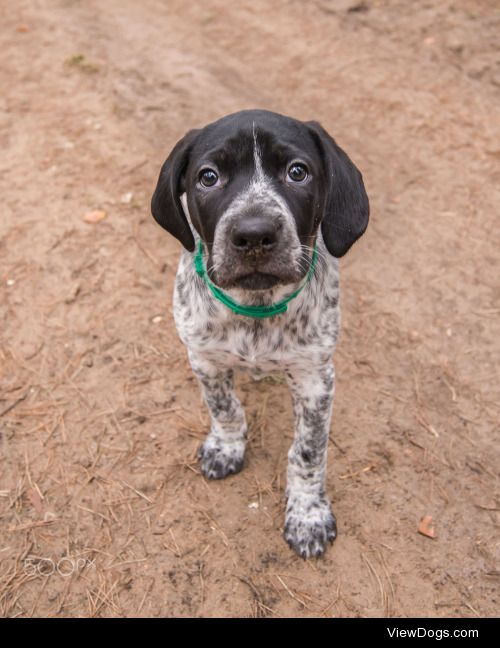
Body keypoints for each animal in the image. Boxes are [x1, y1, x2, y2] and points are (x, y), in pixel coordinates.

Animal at [150, 109, 370, 560]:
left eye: (297, 172)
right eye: (208, 177)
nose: (253, 234)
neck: (256, 306)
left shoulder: (315, 380)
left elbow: (308, 452)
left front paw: (307, 514)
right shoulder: (204, 358)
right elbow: (224, 408)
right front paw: (227, 447)